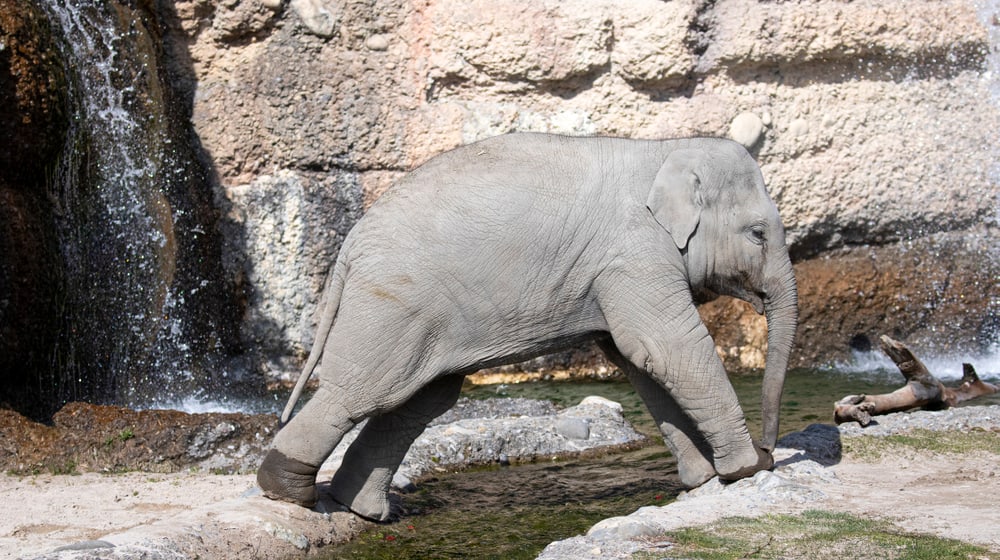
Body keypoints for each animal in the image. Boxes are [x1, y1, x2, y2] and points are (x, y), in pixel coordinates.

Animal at [257, 132, 799, 522]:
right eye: (757, 234)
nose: (771, 450)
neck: (665, 147)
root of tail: (349, 246)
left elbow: (643, 366)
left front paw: (704, 480)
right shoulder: (634, 252)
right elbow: (666, 349)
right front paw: (742, 470)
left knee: (419, 402)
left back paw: (364, 512)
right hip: (394, 302)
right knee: (366, 392)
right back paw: (288, 493)